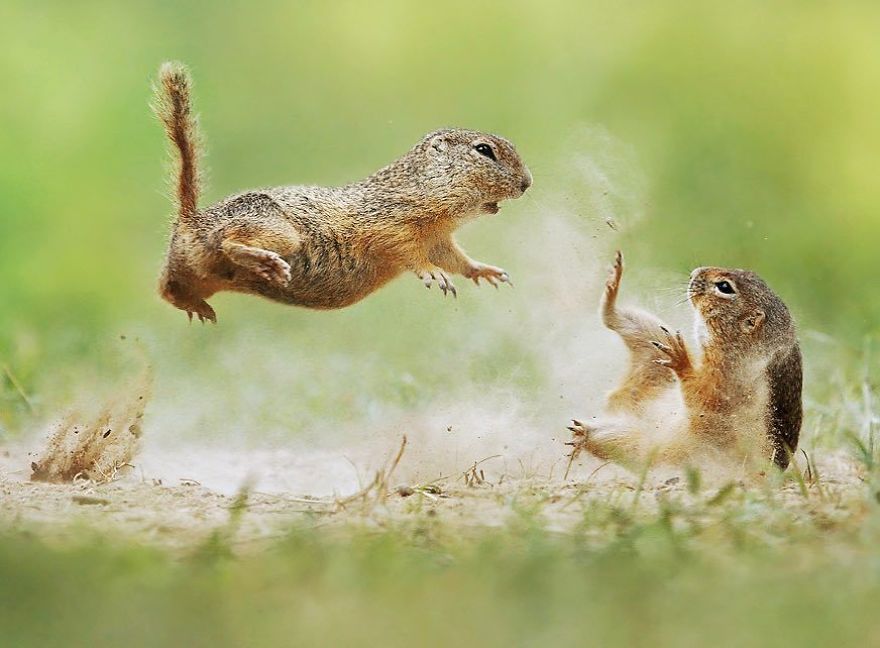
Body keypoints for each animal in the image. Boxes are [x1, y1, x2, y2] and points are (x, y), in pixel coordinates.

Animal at [151, 63, 528, 322]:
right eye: (484, 150)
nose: (527, 183)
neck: (420, 187)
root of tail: (190, 220)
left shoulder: (439, 241)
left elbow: (457, 259)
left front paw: (486, 271)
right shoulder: (392, 224)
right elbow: (411, 254)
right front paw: (434, 274)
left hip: (191, 271)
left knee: (167, 288)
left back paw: (199, 307)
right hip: (277, 232)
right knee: (228, 244)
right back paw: (266, 264)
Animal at [568, 252, 800, 470]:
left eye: (724, 287)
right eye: (748, 272)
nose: (694, 273)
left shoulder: (722, 390)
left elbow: (697, 395)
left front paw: (681, 360)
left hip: (641, 446)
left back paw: (583, 434)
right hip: (654, 340)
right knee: (616, 321)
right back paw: (612, 288)